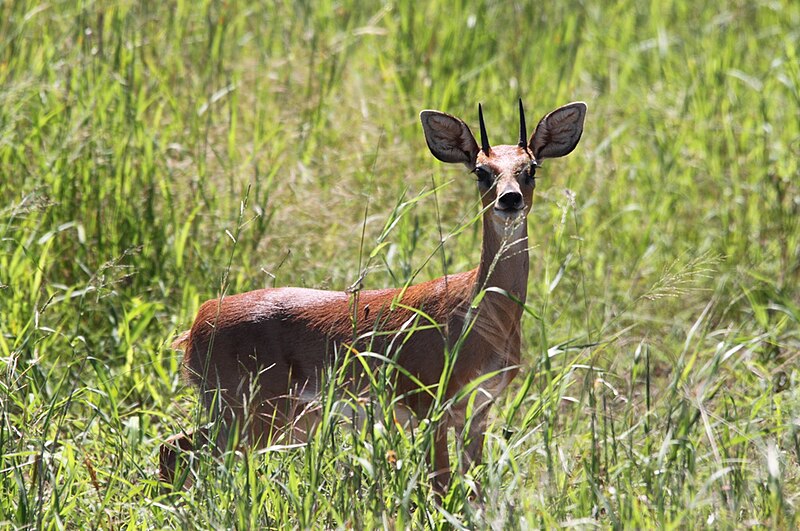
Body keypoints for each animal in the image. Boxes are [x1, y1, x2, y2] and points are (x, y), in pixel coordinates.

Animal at [162, 100, 588, 494]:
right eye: (481, 171)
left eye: (530, 169)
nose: (510, 199)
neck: (479, 314)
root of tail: (196, 325)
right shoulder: (431, 405)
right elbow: (440, 486)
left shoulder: (477, 412)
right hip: (249, 410)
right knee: (175, 448)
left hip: (281, 417)